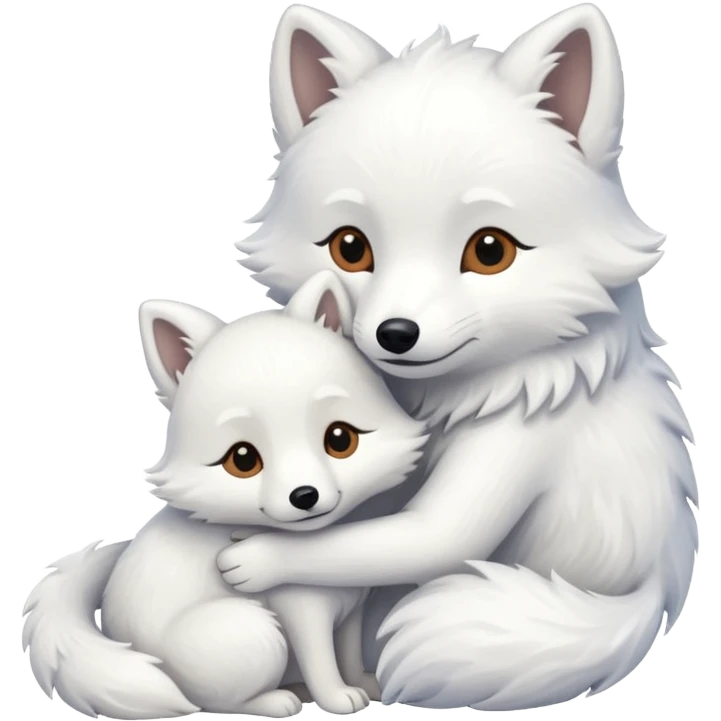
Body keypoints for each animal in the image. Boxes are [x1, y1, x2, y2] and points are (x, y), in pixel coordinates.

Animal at [21, 272, 427, 720]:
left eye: (340, 439)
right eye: (243, 460)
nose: (304, 495)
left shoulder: (351, 610)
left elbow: (348, 654)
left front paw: (363, 684)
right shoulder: (301, 612)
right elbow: (321, 661)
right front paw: (338, 698)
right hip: (252, 629)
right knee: (205, 699)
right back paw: (277, 699)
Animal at [227, 1, 699, 712]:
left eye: (489, 250)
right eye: (349, 247)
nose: (395, 333)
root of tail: (658, 577)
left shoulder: (521, 439)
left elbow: (429, 537)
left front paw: (259, 558)